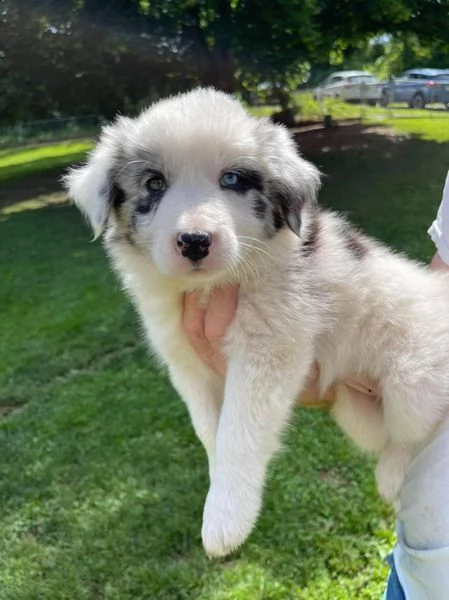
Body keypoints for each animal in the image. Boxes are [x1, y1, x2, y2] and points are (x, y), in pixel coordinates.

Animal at [65, 88, 448, 556]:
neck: (212, 285)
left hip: (412, 380)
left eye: (232, 180)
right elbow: (210, 430)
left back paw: (391, 477)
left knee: (416, 432)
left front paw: (225, 519)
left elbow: (239, 431)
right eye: (154, 184)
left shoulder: (267, 349)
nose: (195, 242)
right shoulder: (186, 363)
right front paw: (219, 492)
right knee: (388, 435)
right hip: (357, 411)